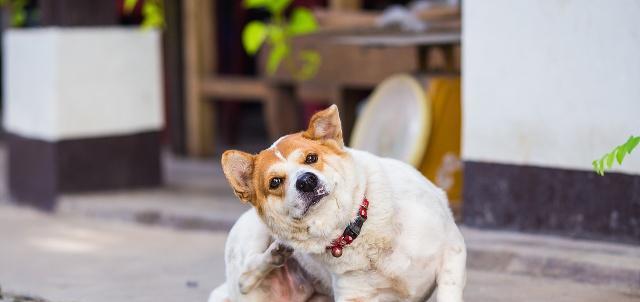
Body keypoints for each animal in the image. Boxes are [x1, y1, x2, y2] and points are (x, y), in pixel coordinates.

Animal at [210, 105, 464, 300]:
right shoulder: (354, 295)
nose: (306, 181)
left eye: (311, 158)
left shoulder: (452, 248)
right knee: (244, 277)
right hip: (251, 240)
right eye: (275, 182)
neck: (353, 228)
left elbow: (448, 291)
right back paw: (274, 255)